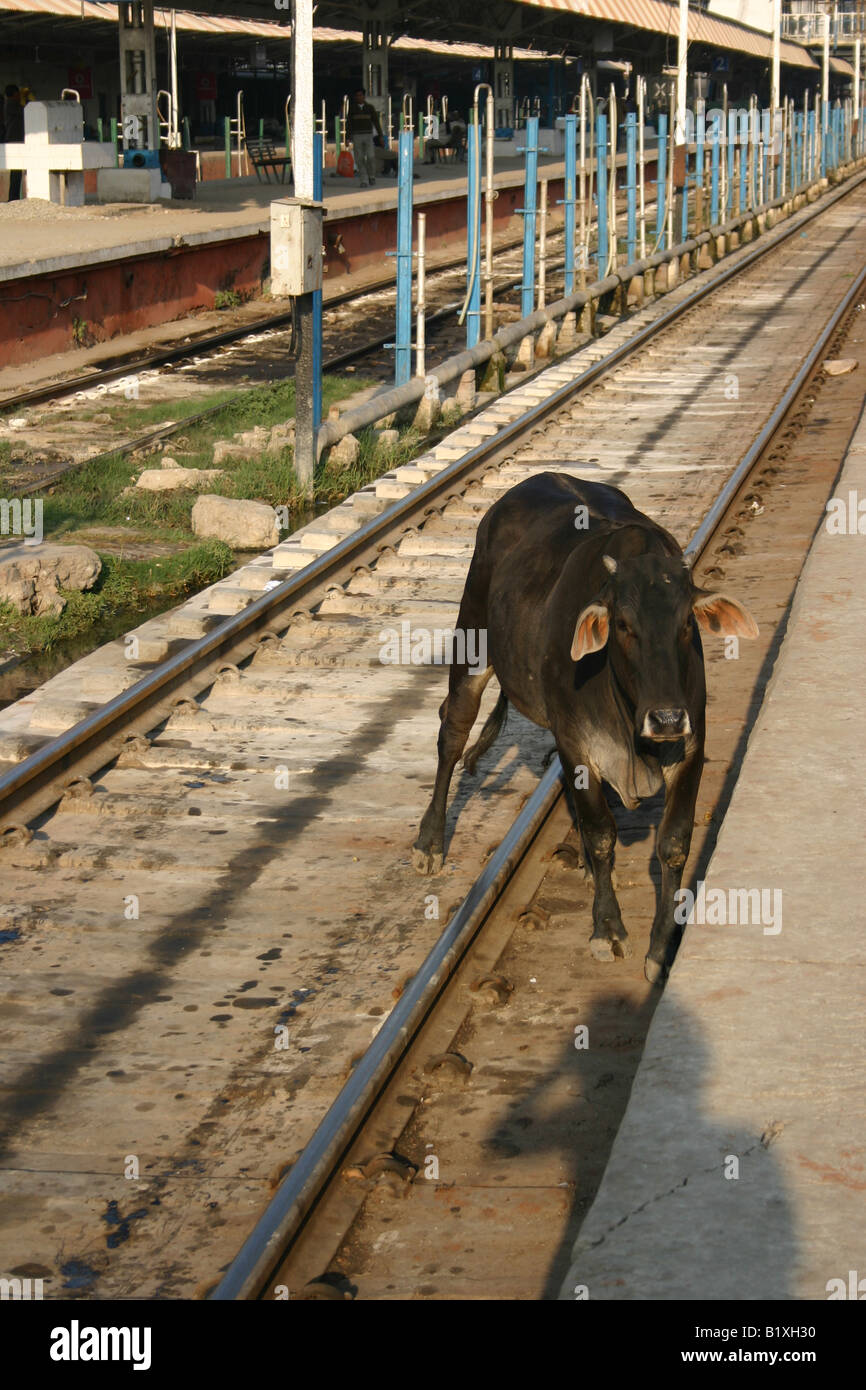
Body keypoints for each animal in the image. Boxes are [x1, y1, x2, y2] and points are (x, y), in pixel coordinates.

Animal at [414, 472, 756, 984]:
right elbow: (601, 834)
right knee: (452, 733)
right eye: (623, 624)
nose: (667, 718)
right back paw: (430, 842)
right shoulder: (579, 745)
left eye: (686, 624)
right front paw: (607, 930)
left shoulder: (691, 746)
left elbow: (674, 842)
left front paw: (661, 945)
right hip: (471, 643)